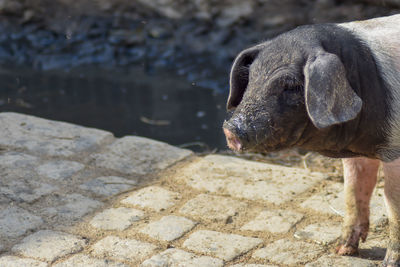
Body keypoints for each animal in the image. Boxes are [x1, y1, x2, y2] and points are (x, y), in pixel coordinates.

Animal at [223, 15, 400, 267]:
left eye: (290, 85)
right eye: (252, 77)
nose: (230, 130)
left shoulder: (394, 150)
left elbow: (392, 203)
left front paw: (388, 263)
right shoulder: (358, 154)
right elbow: (353, 193)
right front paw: (343, 251)